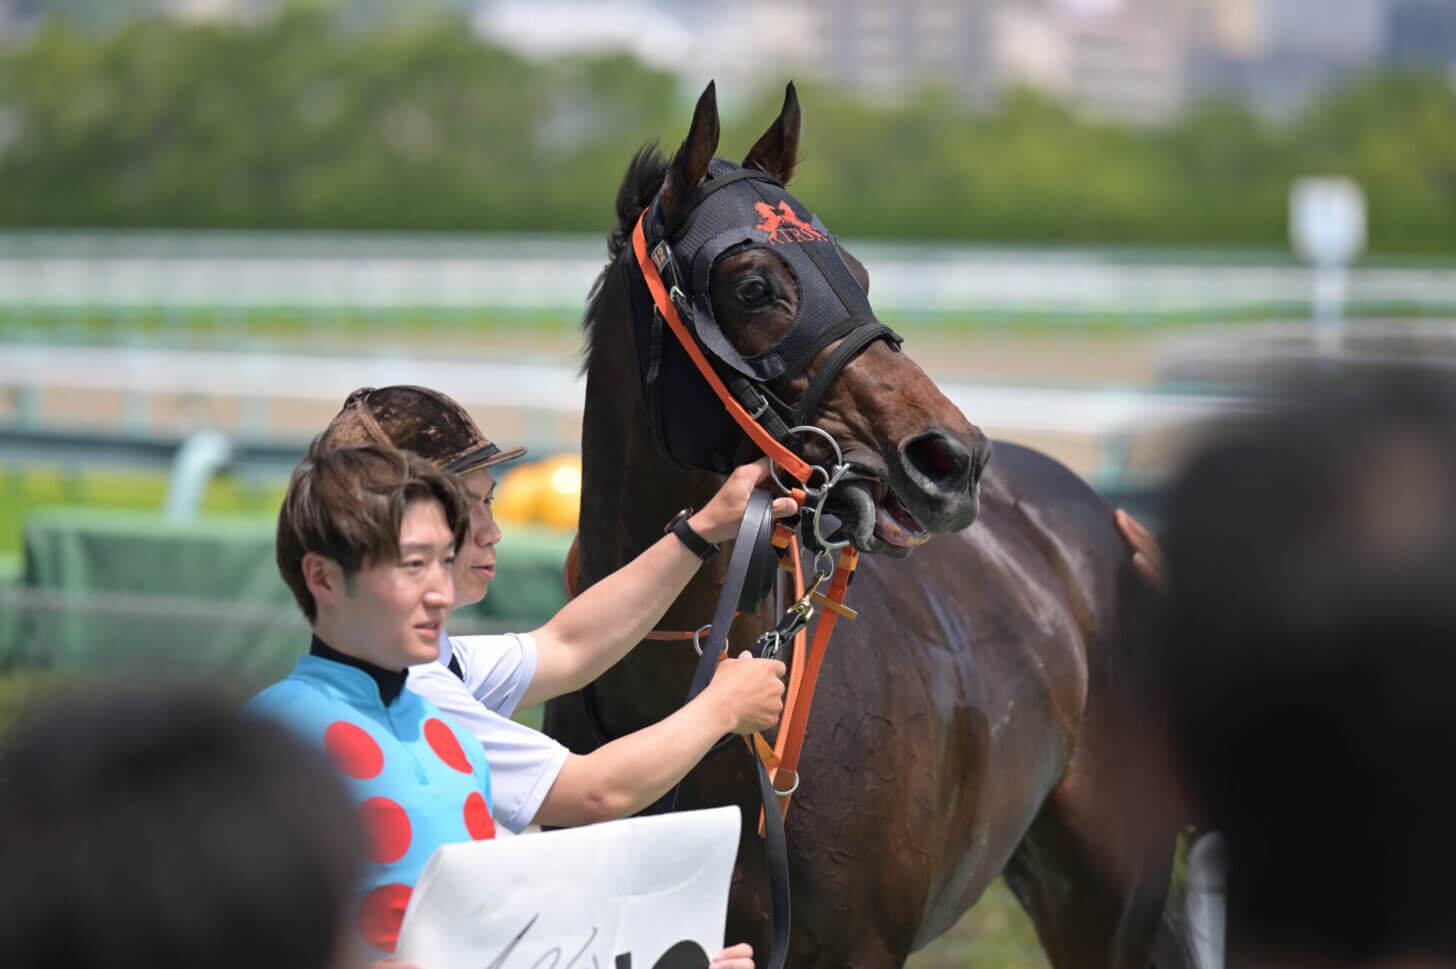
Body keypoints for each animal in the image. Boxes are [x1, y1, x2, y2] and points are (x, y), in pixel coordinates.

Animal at [544, 84, 1182, 966]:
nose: (952, 458)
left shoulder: (863, 944)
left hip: (1106, 900)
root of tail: (1118, 527)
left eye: (859, 273)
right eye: (753, 286)